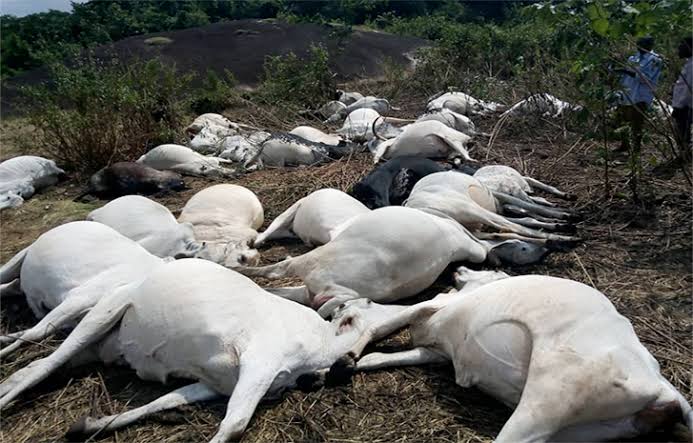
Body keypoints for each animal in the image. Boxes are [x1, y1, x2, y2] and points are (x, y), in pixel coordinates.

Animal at [0, 259, 402, 442]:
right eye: (365, 306)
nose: (345, 365)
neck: (319, 341)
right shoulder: (259, 362)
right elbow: (235, 424)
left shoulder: (215, 382)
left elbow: (163, 401)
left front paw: (89, 424)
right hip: (103, 312)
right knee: (43, 359)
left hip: (97, 345)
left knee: (35, 365)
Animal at [330, 273, 693, 442]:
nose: (460, 269)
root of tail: (664, 389)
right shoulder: (436, 351)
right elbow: (384, 356)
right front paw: (355, 362)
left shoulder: (434, 305)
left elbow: (382, 325)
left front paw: (344, 359)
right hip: (580, 431)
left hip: (548, 399)